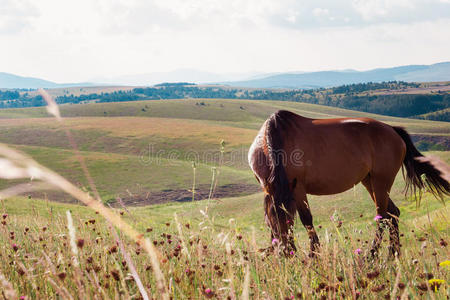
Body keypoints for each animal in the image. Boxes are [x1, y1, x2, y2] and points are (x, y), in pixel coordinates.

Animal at [250, 111, 450, 256]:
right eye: (270, 223)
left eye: (289, 220)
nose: (286, 253)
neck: (275, 141)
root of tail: (393, 131)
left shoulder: (298, 188)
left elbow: (307, 221)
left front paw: (314, 257)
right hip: (369, 181)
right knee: (393, 214)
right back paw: (393, 256)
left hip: (381, 182)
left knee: (383, 217)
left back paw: (371, 256)